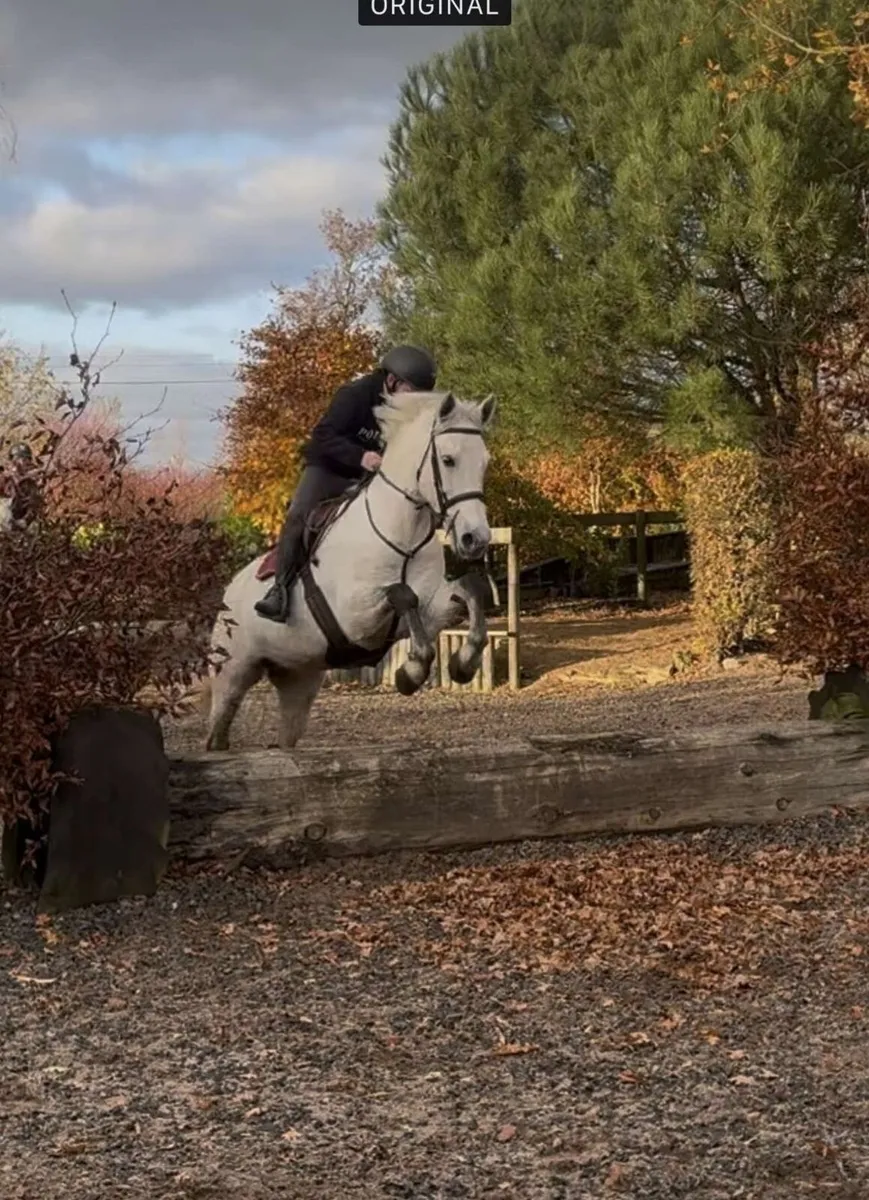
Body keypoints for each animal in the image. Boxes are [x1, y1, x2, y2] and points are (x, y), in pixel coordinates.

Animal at [201, 388, 497, 751]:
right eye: (448, 460)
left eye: (485, 463)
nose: (476, 539)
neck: (404, 532)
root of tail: (229, 590)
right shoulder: (354, 618)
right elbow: (402, 594)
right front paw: (411, 673)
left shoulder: (433, 607)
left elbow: (470, 591)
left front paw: (463, 663)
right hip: (232, 671)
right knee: (219, 725)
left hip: (299, 678)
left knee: (287, 737)